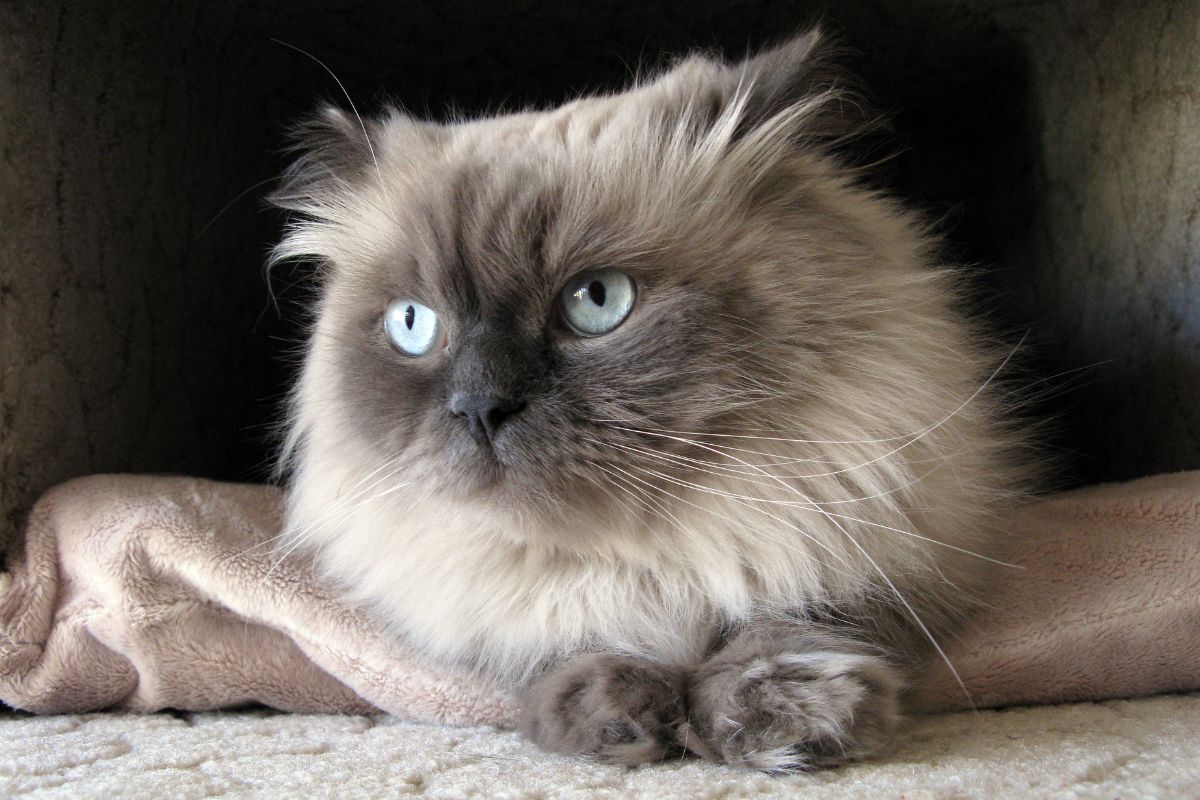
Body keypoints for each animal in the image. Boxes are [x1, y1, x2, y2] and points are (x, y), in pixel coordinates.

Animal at [270, 29, 1032, 767]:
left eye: (597, 301)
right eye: (413, 324)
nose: (480, 406)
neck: (643, 562)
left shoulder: (857, 531)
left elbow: (796, 619)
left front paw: (781, 722)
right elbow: (568, 638)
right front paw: (617, 721)